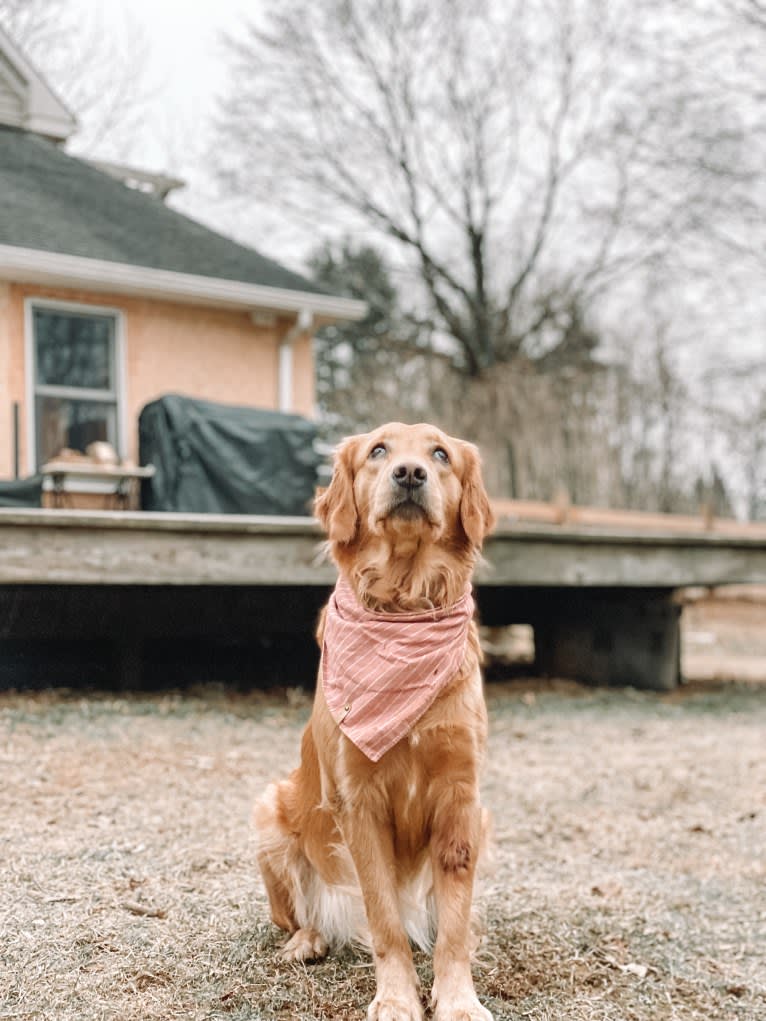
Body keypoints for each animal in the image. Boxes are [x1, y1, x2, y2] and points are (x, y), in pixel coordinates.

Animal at [255, 420, 498, 1021]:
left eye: (441, 454)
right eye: (378, 451)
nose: (409, 473)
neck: (404, 605)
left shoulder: (461, 799)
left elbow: (453, 928)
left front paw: (457, 999)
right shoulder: (357, 800)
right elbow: (384, 919)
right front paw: (395, 998)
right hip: (269, 814)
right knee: (301, 913)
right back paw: (308, 940)